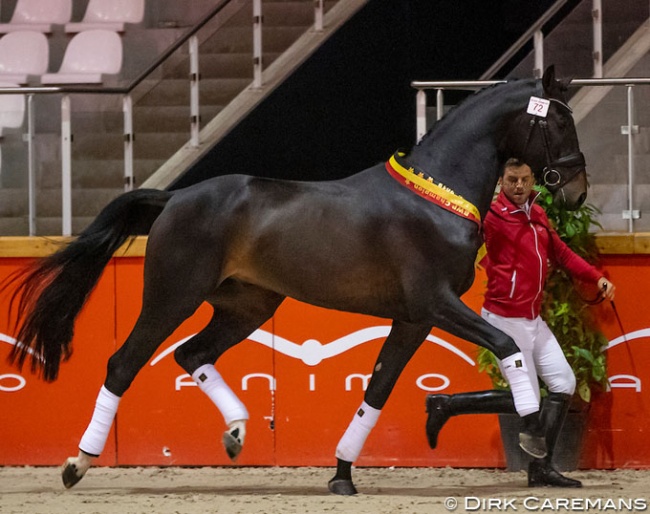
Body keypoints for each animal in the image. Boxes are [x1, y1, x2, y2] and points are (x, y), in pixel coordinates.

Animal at [5, 65, 584, 492]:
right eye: (558, 121)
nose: (575, 190)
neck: (435, 196)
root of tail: (175, 197)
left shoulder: (412, 319)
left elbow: (377, 389)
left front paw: (342, 475)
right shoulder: (436, 304)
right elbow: (508, 346)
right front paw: (534, 436)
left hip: (248, 306)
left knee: (192, 354)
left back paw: (237, 432)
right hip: (171, 296)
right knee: (124, 364)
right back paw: (77, 464)